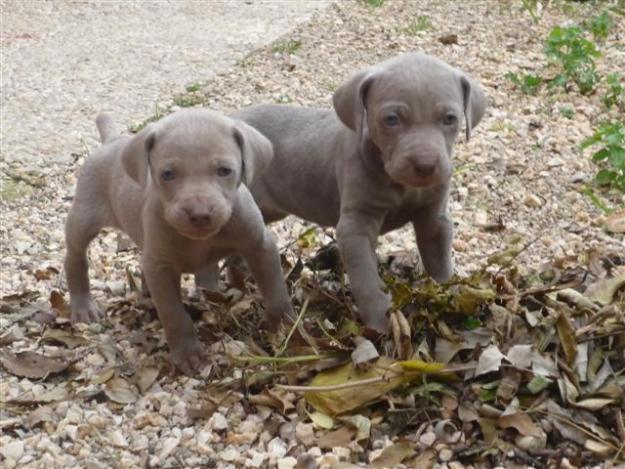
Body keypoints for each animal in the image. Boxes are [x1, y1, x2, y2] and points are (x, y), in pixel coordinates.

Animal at [64, 108, 294, 372]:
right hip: (84, 217)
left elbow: (277, 293)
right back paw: (83, 305)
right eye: (168, 174)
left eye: (225, 170)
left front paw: (286, 329)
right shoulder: (161, 267)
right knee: (75, 256)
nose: (200, 214)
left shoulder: (260, 245)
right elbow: (174, 314)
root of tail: (111, 141)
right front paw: (187, 354)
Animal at [236, 52, 486, 330]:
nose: (425, 165)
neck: (400, 185)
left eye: (450, 119)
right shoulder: (355, 227)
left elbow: (440, 263)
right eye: (391, 119)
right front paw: (382, 321)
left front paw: (451, 295)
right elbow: (366, 279)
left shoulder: (434, 219)